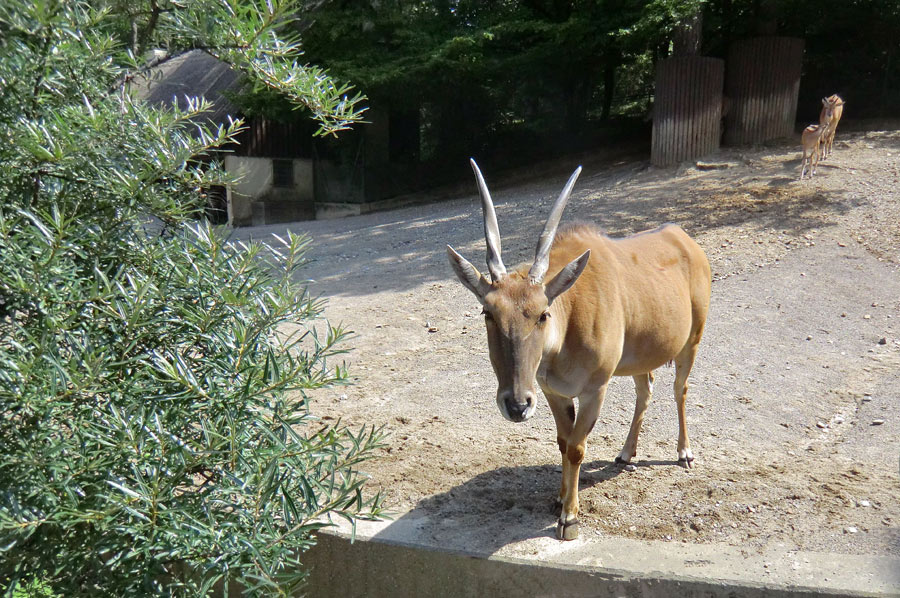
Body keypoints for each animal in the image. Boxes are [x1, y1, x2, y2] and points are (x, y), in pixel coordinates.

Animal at [446, 161, 712, 544]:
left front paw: (569, 519)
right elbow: (562, 441)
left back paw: (684, 452)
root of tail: (684, 238)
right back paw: (626, 453)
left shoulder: (593, 390)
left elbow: (576, 447)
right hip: (640, 357)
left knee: (680, 389)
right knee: (645, 390)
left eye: (543, 313)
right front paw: (559, 500)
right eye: (488, 312)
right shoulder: (552, 392)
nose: (516, 405)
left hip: (692, 341)